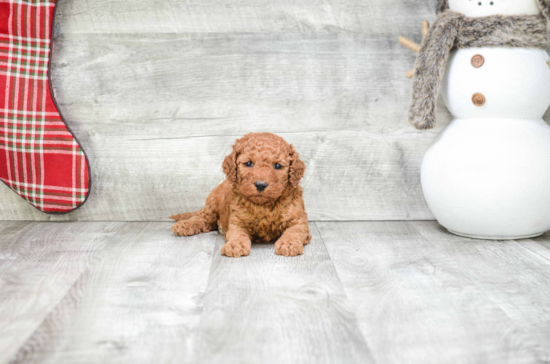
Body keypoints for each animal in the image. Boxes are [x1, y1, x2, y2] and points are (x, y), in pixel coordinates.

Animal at [170, 132, 312, 258]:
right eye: (248, 163)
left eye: (277, 165)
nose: (260, 185)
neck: (263, 206)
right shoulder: (237, 220)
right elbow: (237, 233)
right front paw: (235, 245)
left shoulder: (298, 221)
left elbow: (294, 231)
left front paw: (288, 244)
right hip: (212, 205)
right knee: (201, 218)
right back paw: (184, 225)